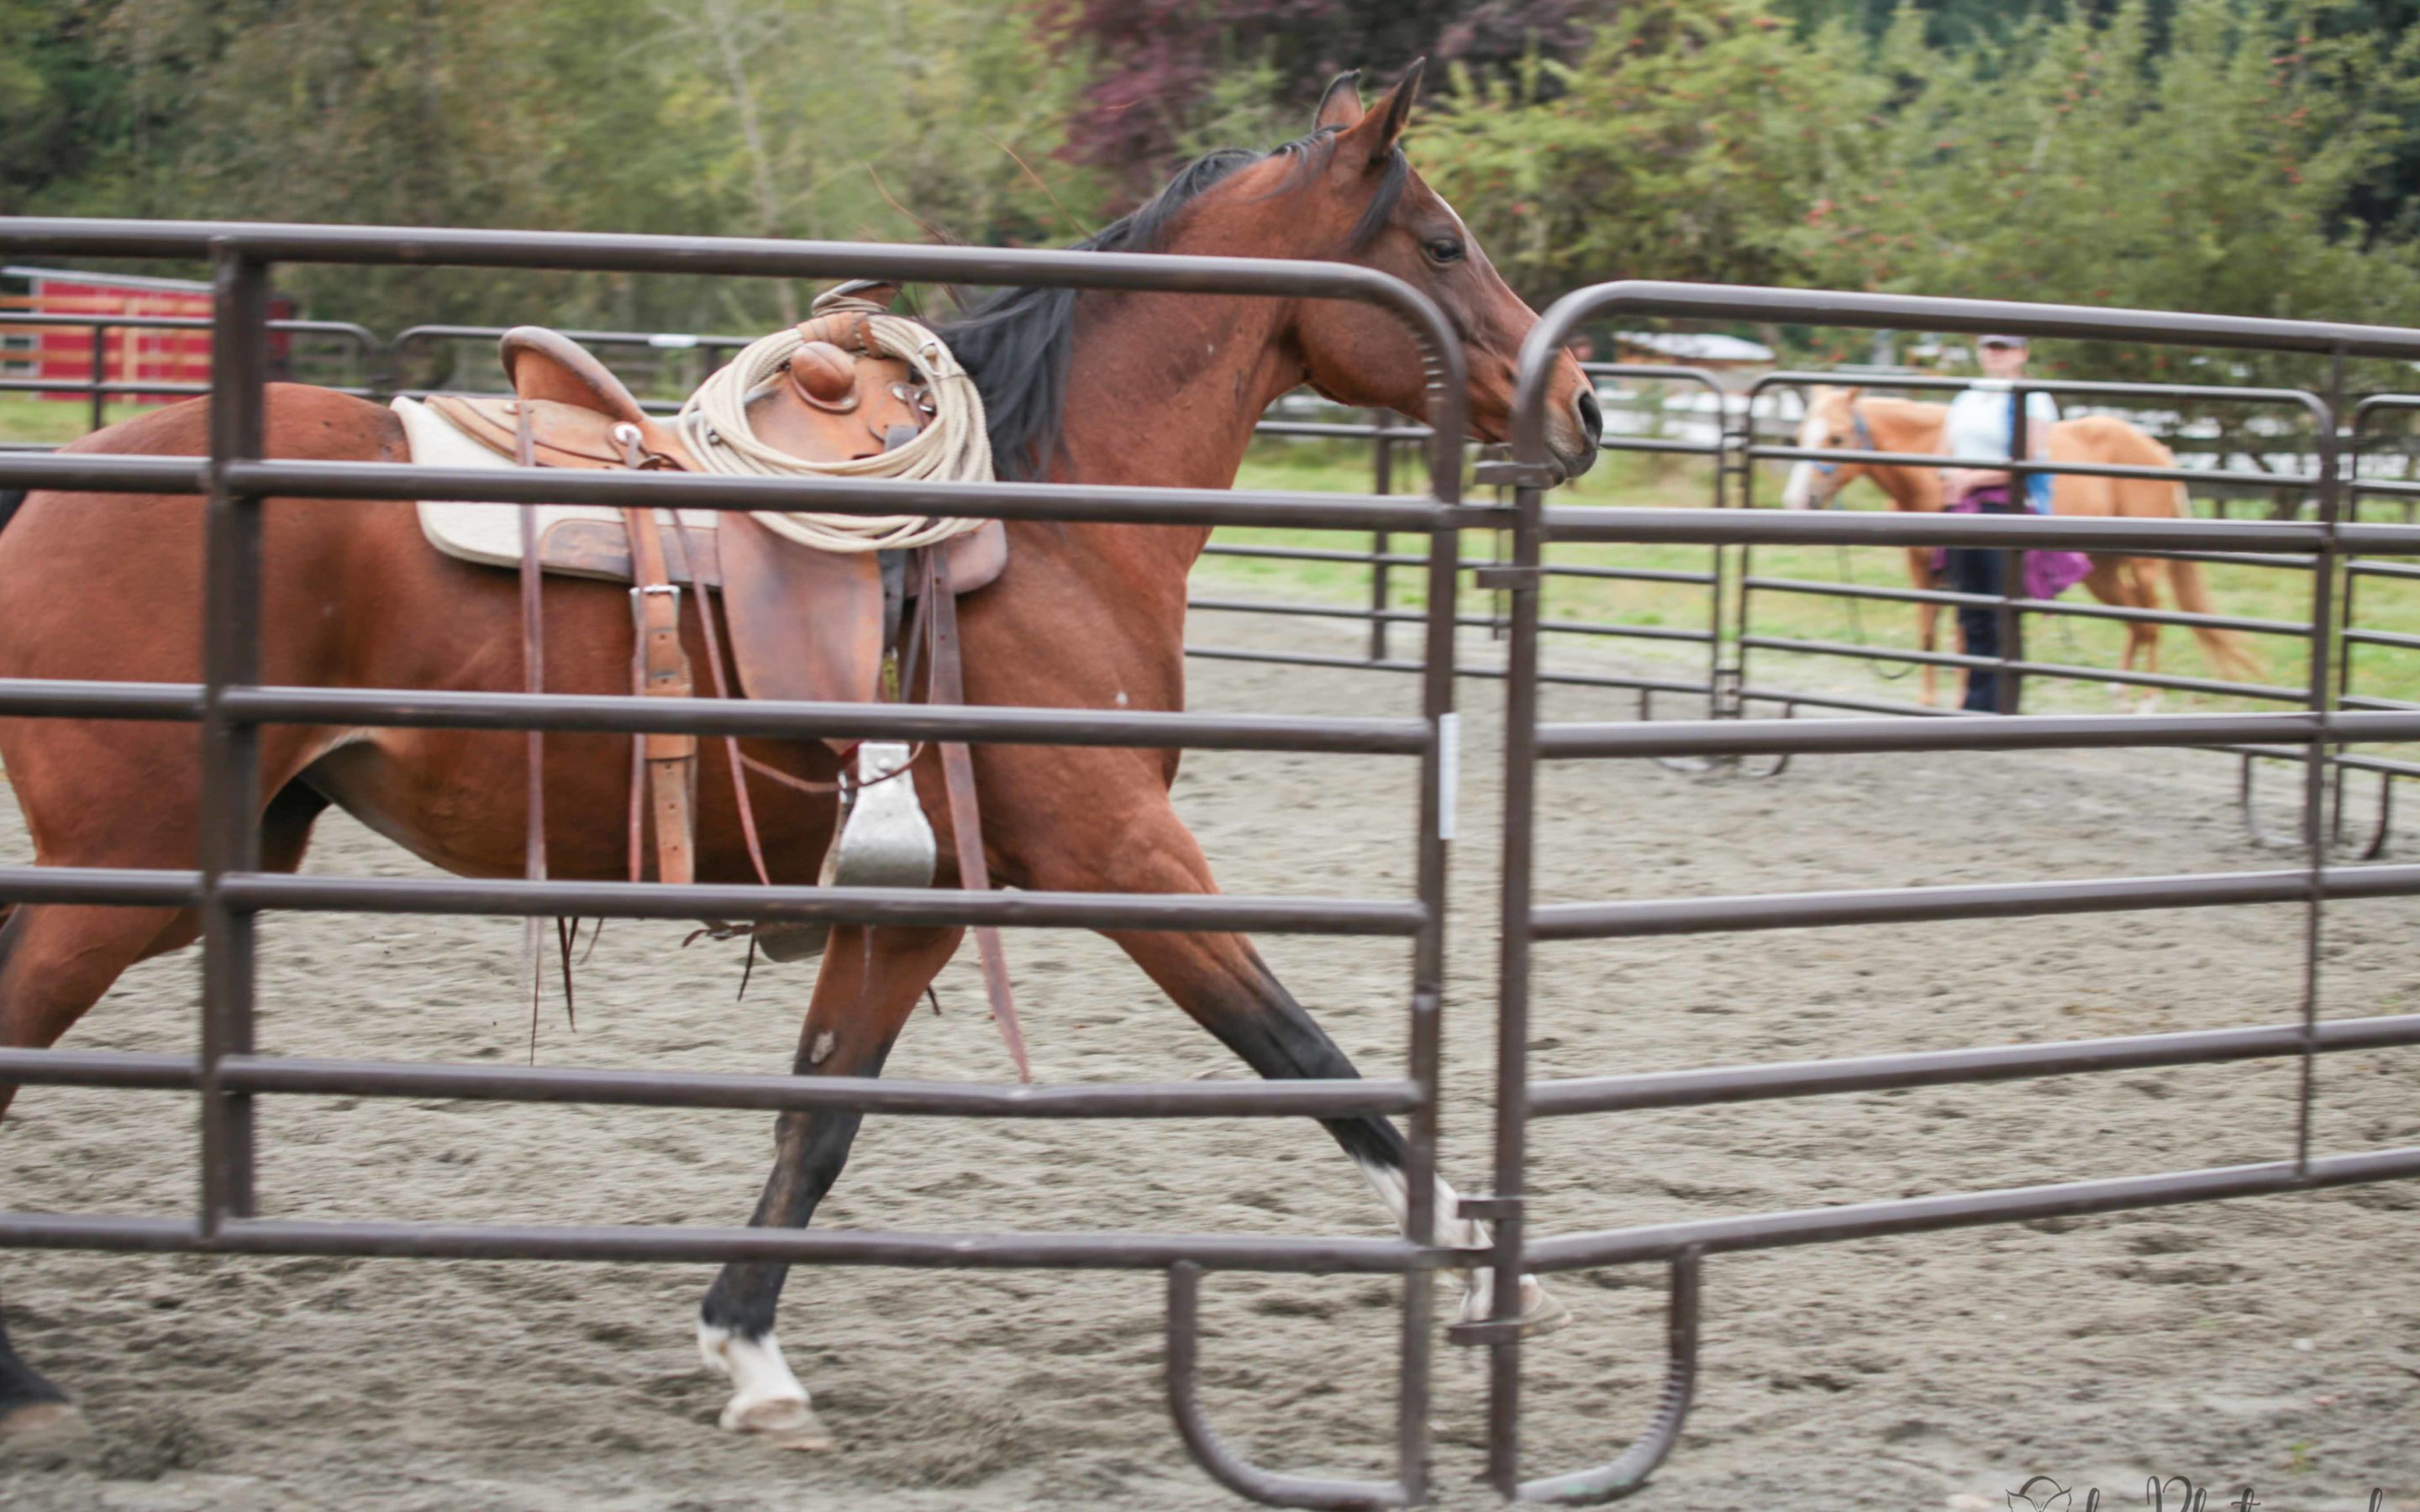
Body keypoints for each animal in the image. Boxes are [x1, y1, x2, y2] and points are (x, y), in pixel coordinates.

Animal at [0, 65, 1607, 1441]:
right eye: (1445, 243)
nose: (1582, 403)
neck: (1052, 512)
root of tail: (66, 477)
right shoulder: (1125, 857)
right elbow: (1306, 1055)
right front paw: (1486, 1267)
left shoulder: (920, 900)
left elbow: (821, 1111)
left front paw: (748, 1347)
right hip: (126, 874)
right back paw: (28, 1384)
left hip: (201, 856)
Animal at [1771, 380, 2255, 706]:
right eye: (1798, 437)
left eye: (1836, 437)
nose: (1796, 500)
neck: (1934, 473)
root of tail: (2157, 450)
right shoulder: (1922, 569)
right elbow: (1928, 634)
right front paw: (1927, 704)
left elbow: (1967, 639)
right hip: (2102, 568)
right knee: (2137, 621)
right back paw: (2121, 691)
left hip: (2144, 562)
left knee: (2152, 617)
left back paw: (2147, 701)